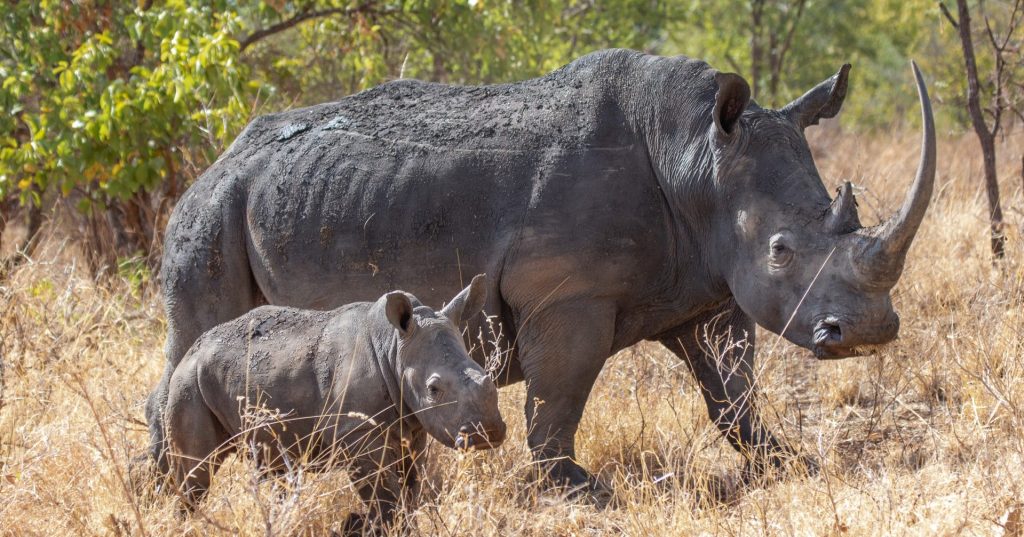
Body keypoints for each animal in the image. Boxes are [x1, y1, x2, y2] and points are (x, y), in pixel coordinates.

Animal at [163, 274, 503, 524]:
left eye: (487, 375)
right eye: (433, 389)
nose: (487, 433)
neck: (394, 348)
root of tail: (191, 350)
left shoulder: (413, 428)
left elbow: (410, 489)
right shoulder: (356, 435)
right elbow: (385, 496)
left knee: (272, 468)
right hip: (189, 382)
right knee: (196, 473)